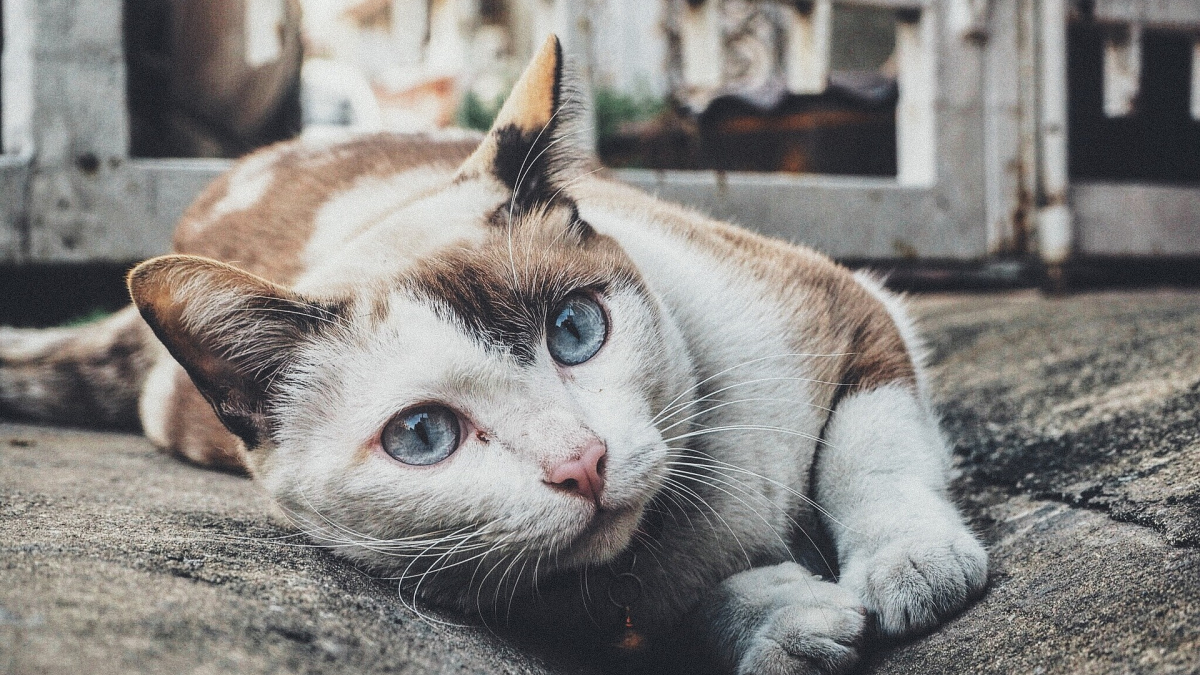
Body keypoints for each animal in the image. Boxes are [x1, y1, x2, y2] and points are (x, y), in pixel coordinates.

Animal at [0, 38, 984, 672]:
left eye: (576, 331)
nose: (583, 464)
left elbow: (870, 450)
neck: (686, 518)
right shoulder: (542, 599)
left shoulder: (844, 305)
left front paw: (912, 566)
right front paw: (783, 620)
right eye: (423, 436)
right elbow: (671, 609)